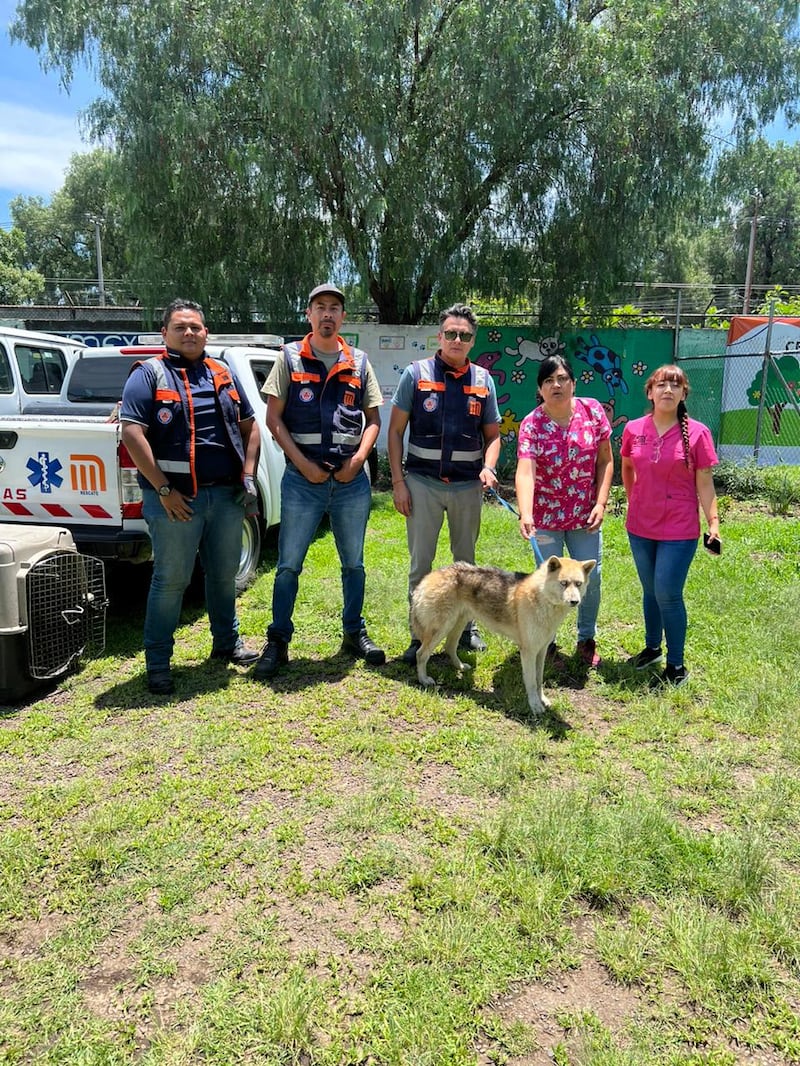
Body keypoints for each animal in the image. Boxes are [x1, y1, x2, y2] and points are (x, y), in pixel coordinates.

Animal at [413, 558, 597, 716]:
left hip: (457, 625)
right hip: (441, 629)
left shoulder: (542, 650)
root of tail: (431, 575)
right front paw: (535, 706)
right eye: (563, 583)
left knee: (449, 647)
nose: (575, 601)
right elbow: (531, 682)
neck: (541, 598)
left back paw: (460, 667)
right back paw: (424, 680)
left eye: (578, 584)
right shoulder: (528, 652)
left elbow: (539, 680)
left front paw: (542, 699)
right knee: (421, 654)